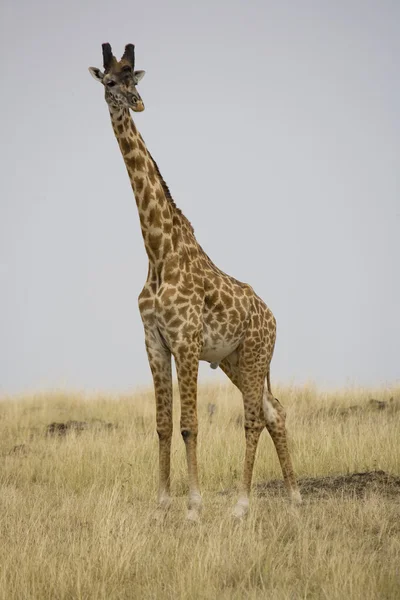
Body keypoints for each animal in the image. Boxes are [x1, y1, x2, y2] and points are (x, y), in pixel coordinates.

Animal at [87, 42, 300, 520]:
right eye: (108, 81)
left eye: (132, 78)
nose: (136, 102)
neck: (158, 252)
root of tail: (274, 318)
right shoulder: (154, 341)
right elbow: (163, 425)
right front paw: (161, 504)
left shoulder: (185, 340)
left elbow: (189, 425)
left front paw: (193, 507)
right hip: (236, 361)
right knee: (274, 410)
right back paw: (295, 498)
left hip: (255, 356)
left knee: (254, 417)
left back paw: (241, 504)